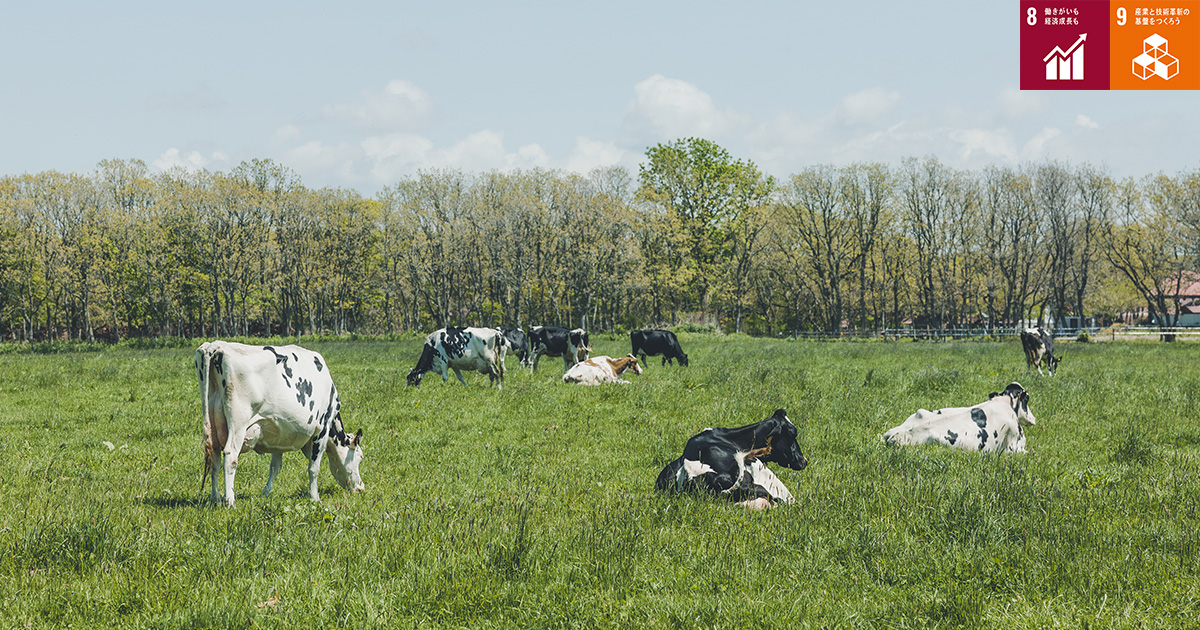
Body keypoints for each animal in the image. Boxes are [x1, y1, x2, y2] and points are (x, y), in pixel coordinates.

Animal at [194, 338, 364, 506]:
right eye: (360, 457)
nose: (361, 488)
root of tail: (216, 345)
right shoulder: (321, 428)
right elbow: (314, 468)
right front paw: (315, 498)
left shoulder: (280, 433)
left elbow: (275, 467)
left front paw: (266, 492)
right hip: (238, 420)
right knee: (230, 456)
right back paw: (229, 501)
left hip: (212, 419)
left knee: (214, 457)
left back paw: (215, 498)